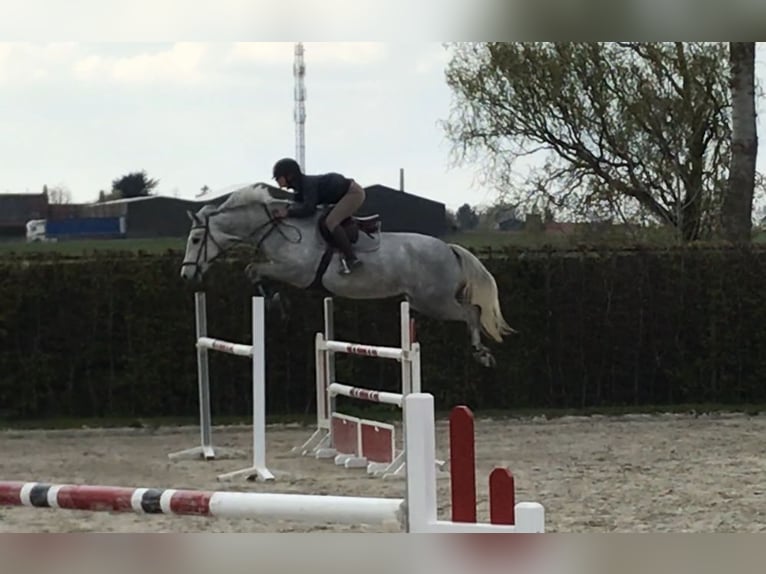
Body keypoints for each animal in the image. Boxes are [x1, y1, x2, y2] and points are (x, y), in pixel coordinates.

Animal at [180, 184, 516, 368]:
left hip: (434, 301)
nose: (185, 275)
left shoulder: (297, 272)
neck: (277, 228)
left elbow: (253, 270)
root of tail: (449, 248)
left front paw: (277, 303)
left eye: (195, 240)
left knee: (472, 312)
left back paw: (482, 354)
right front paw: (277, 304)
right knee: (470, 310)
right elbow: (254, 273)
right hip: (426, 301)